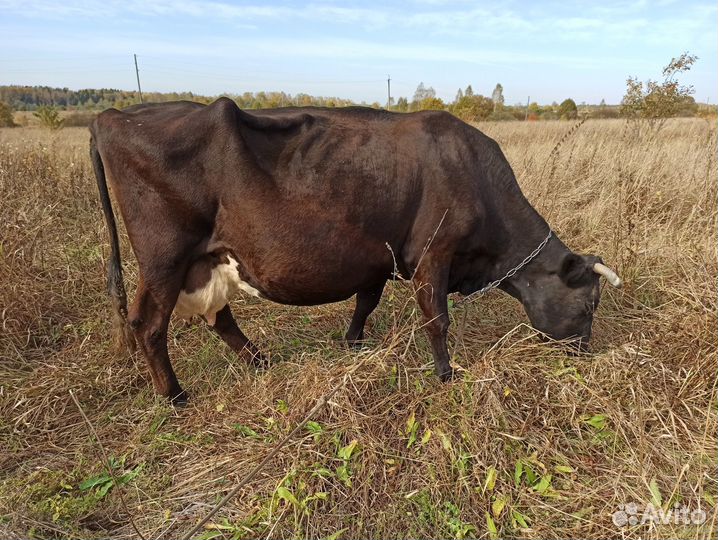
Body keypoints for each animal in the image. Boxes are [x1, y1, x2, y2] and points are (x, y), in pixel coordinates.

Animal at [90, 97, 621, 404]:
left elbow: (366, 302)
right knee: (149, 324)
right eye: (588, 304)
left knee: (218, 316)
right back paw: (175, 394)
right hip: (164, 257)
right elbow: (437, 319)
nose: (586, 352)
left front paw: (352, 343)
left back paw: (261, 363)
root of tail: (113, 115)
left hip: (205, 259)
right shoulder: (434, 254)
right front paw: (447, 375)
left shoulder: (377, 259)